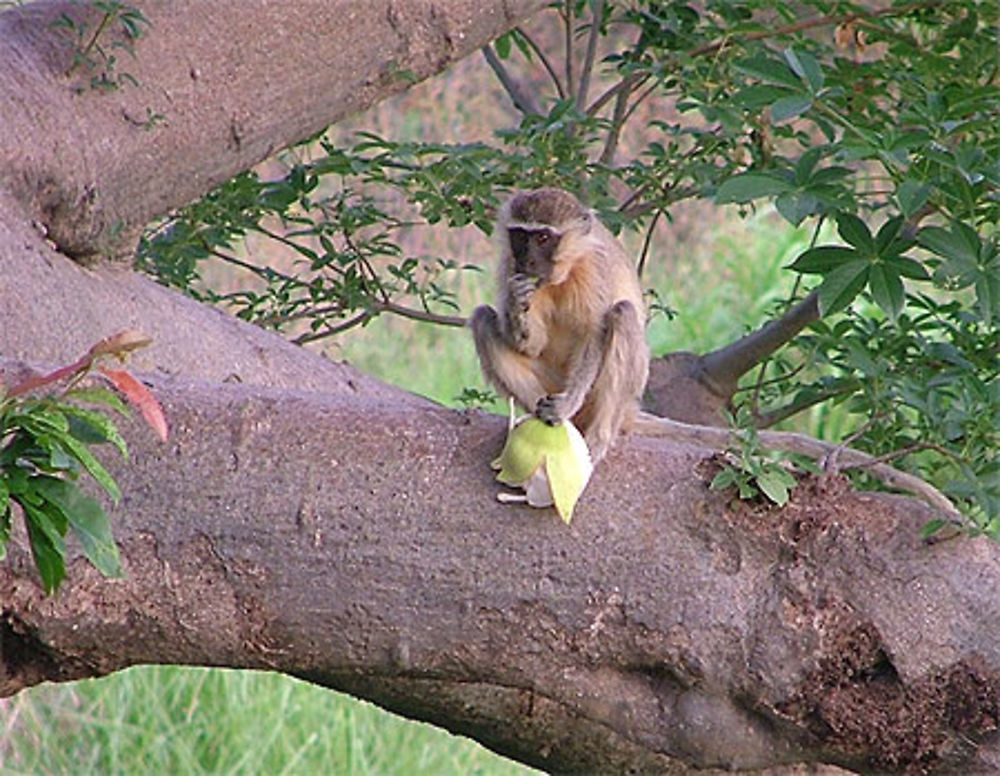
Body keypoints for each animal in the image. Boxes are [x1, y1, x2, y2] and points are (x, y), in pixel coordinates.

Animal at [468, 189, 648, 464]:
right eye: (520, 236)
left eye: (543, 237)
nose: (527, 260)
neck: (563, 273)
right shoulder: (509, 265)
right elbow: (533, 345)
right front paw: (516, 300)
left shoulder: (595, 266)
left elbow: (593, 334)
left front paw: (566, 405)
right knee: (483, 319)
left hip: (602, 399)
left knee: (624, 314)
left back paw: (597, 437)